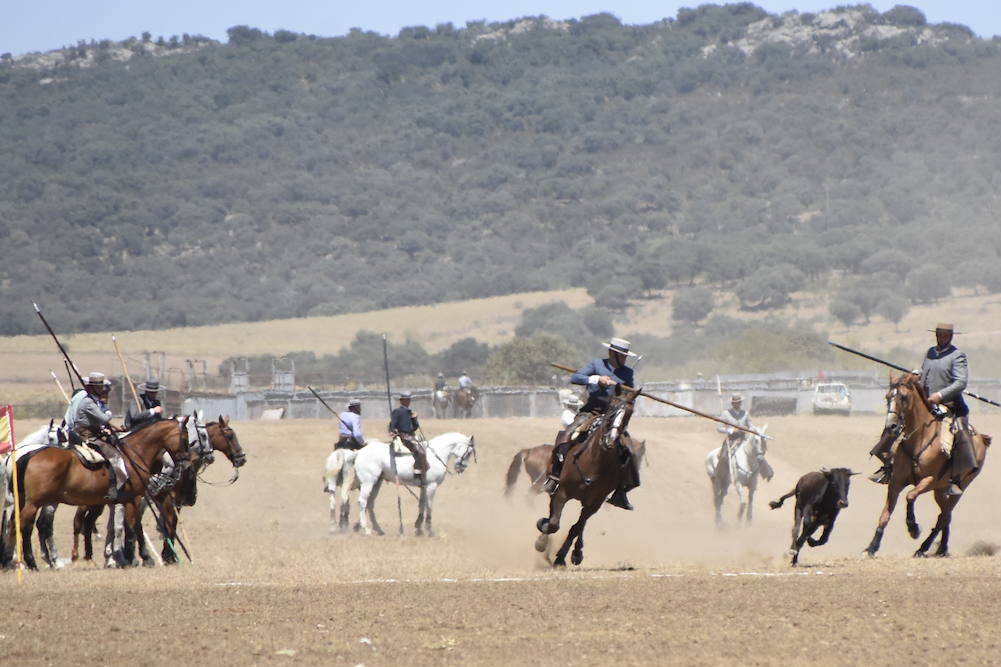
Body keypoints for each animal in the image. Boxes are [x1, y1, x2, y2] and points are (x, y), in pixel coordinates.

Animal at [0, 418, 189, 568]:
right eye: (185, 438)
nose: (184, 464)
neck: (133, 455)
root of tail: (28, 455)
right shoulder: (133, 499)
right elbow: (133, 527)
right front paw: (136, 558)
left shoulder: (115, 501)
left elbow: (117, 527)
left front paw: (119, 558)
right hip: (35, 503)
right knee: (25, 525)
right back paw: (29, 562)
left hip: (25, 500)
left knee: (15, 524)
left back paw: (13, 560)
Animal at [348, 430, 476, 536]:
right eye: (469, 452)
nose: (461, 468)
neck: (436, 453)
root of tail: (359, 452)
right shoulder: (432, 486)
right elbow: (429, 506)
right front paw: (429, 530)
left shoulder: (424, 486)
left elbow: (421, 504)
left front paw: (419, 528)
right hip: (368, 482)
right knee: (363, 502)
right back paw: (366, 529)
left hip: (376, 483)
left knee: (370, 503)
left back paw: (378, 529)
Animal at [864, 368, 988, 556]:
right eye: (887, 396)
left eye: (904, 397)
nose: (891, 426)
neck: (920, 439)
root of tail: (982, 439)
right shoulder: (896, 482)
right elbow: (885, 514)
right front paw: (871, 547)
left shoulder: (929, 481)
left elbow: (910, 496)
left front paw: (913, 529)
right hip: (940, 490)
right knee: (945, 515)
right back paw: (942, 548)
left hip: (959, 487)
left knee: (944, 516)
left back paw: (923, 548)